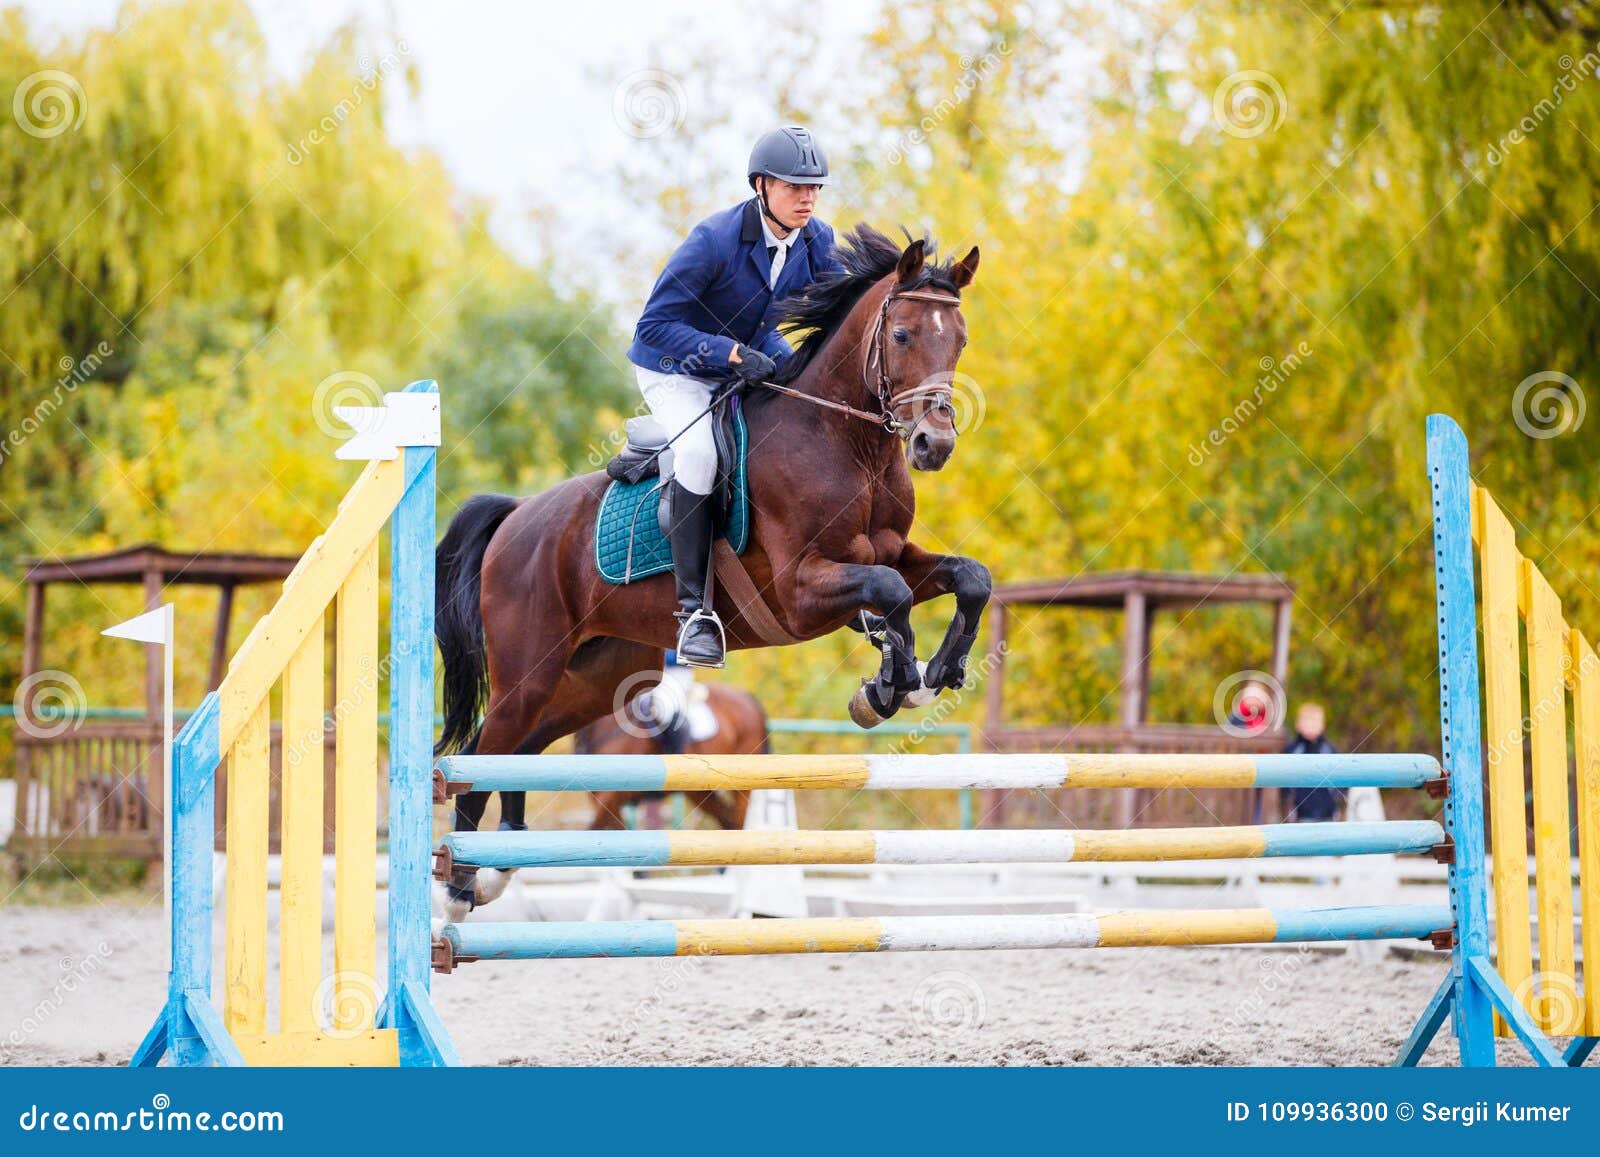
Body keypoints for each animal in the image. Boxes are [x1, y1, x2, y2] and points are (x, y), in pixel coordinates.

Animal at [435, 222, 985, 921]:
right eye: (904, 335)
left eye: (959, 339)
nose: (932, 445)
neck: (845, 443)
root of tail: (516, 516)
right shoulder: (800, 591)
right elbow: (889, 595)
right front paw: (893, 685)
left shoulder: (892, 555)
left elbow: (968, 578)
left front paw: (936, 671)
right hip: (529, 671)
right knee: (485, 750)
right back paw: (457, 887)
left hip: (588, 680)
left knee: (519, 750)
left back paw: (494, 870)